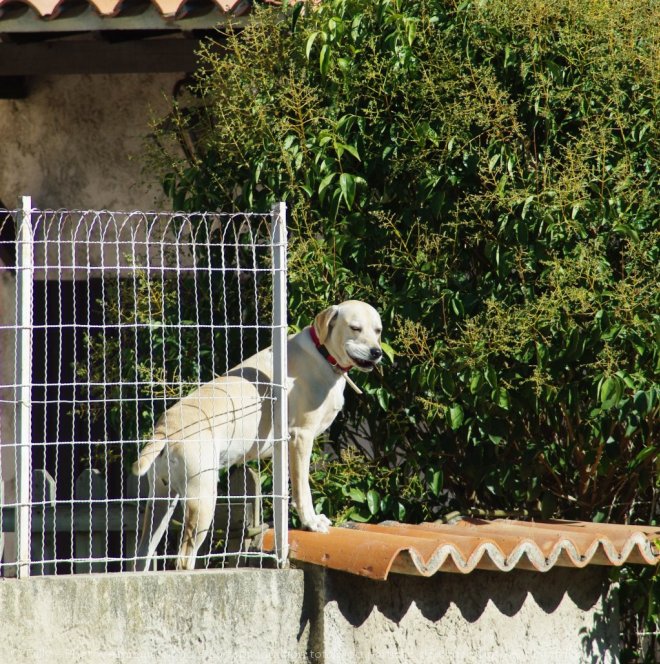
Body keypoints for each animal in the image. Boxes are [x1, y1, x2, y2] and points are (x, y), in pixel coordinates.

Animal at [131, 298, 382, 568]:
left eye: (378, 331)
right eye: (355, 328)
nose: (377, 352)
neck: (323, 353)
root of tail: (165, 429)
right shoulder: (301, 438)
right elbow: (302, 490)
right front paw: (311, 522)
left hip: (161, 499)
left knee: (142, 553)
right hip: (202, 498)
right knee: (183, 559)